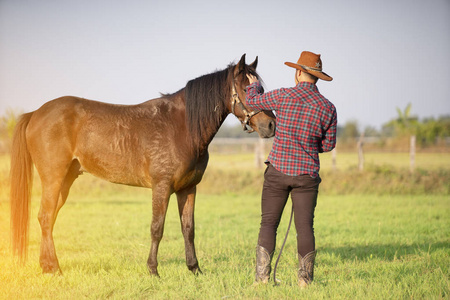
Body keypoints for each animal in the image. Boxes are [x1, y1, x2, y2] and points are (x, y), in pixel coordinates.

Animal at [8, 54, 276, 276]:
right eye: (246, 88)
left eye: (262, 88)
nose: (271, 125)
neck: (181, 126)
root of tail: (36, 113)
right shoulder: (161, 186)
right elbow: (157, 228)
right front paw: (153, 270)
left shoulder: (188, 188)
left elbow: (188, 228)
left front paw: (194, 269)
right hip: (53, 179)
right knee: (45, 217)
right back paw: (54, 269)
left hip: (66, 180)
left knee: (49, 218)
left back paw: (47, 266)